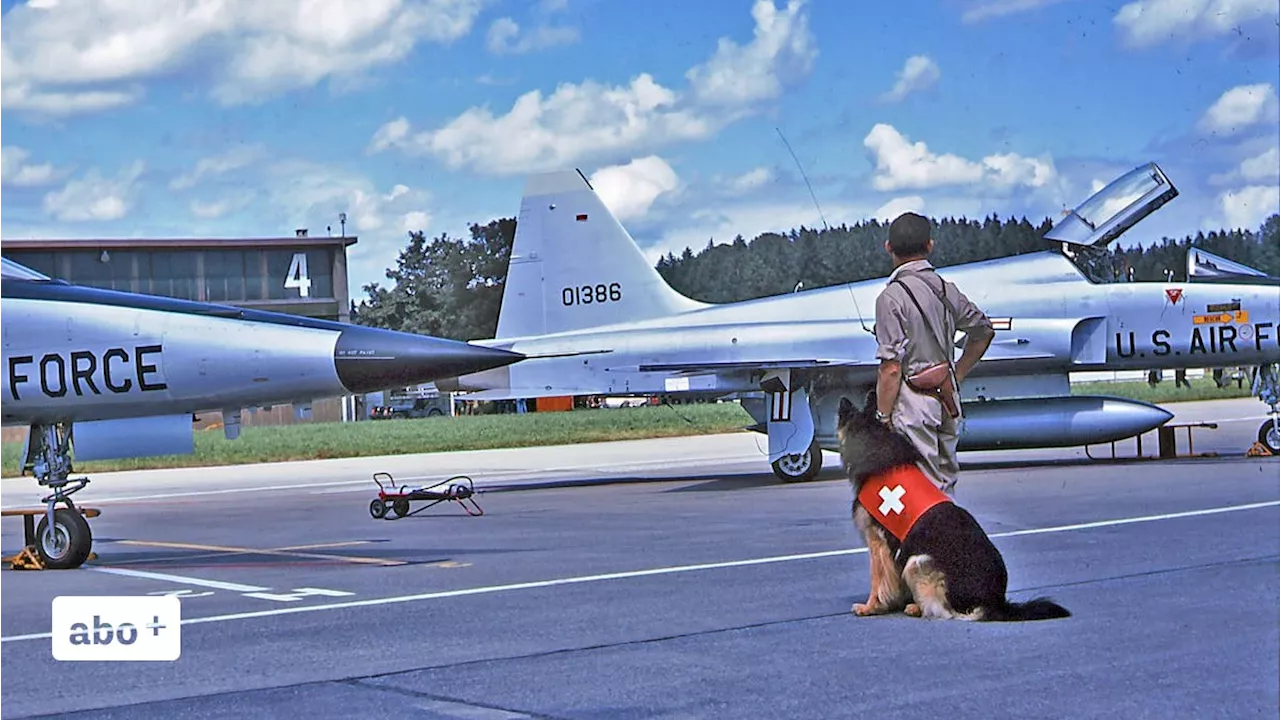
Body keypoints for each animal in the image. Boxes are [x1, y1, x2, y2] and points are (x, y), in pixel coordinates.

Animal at [839, 389, 1070, 620]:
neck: (873, 435)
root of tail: (997, 602)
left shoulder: (877, 543)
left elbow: (877, 581)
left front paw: (870, 607)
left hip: (918, 561)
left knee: (947, 611)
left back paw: (917, 607)